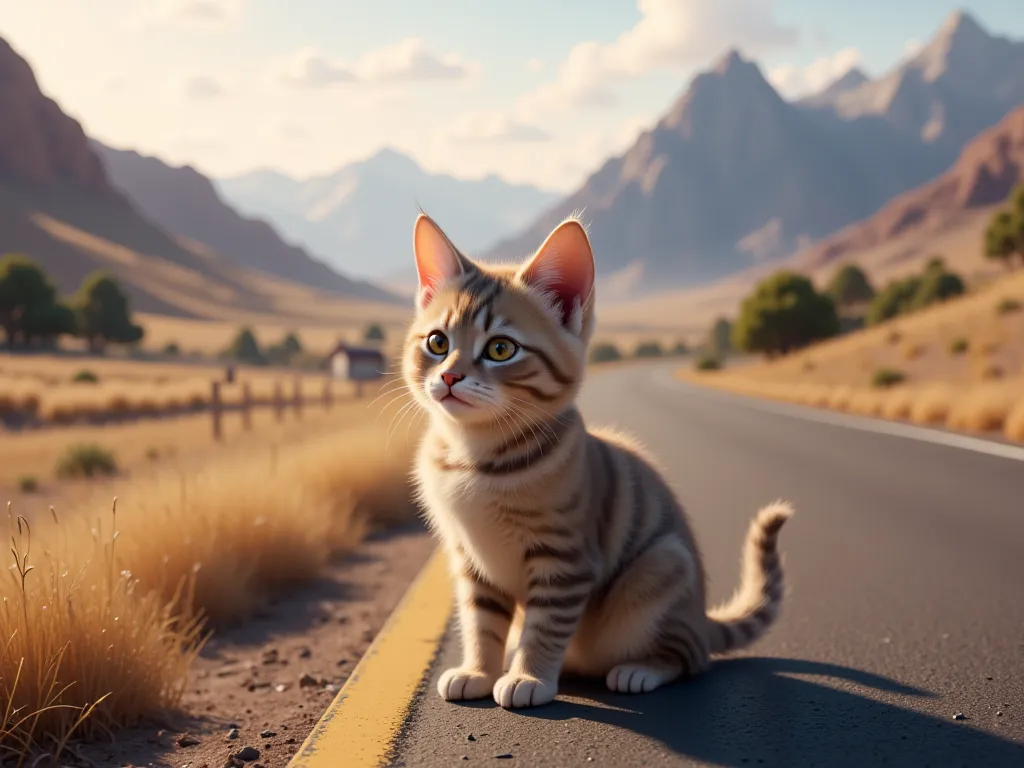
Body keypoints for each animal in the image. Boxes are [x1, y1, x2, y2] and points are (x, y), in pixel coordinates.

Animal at [399, 214, 790, 712]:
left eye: (501, 349)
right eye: (437, 341)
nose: (449, 376)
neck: (473, 457)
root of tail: (703, 618)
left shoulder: (565, 558)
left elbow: (546, 626)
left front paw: (528, 677)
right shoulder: (471, 562)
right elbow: (480, 623)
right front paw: (479, 671)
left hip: (663, 565)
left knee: (691, 658)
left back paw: (639, 670)